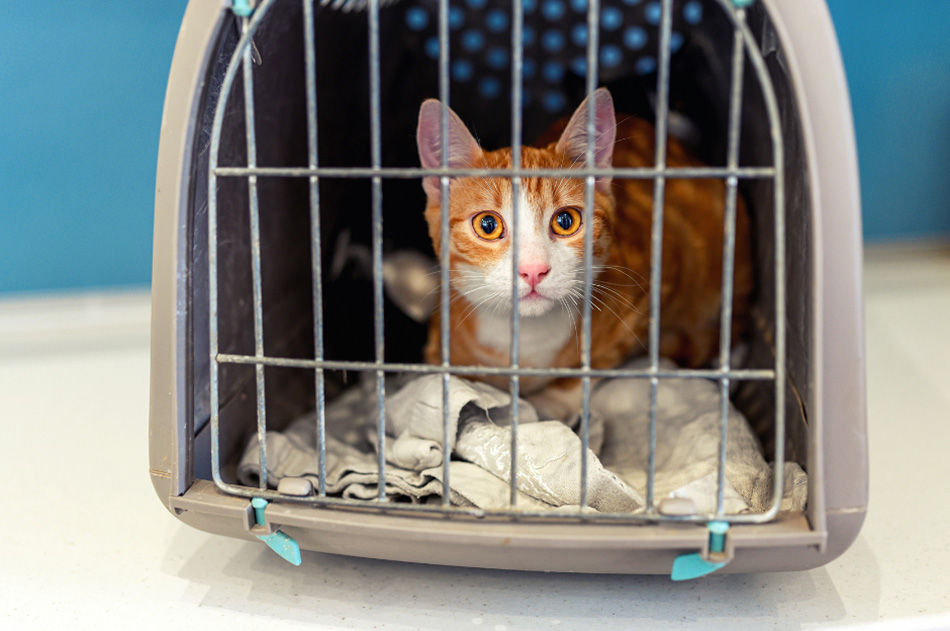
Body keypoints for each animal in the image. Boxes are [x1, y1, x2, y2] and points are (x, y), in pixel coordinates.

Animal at [414, 87, 752, 420]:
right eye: (487, 225)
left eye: (565, 221)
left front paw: (549, 404)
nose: (533, 270)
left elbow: (593, 366)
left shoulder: (656, 278)